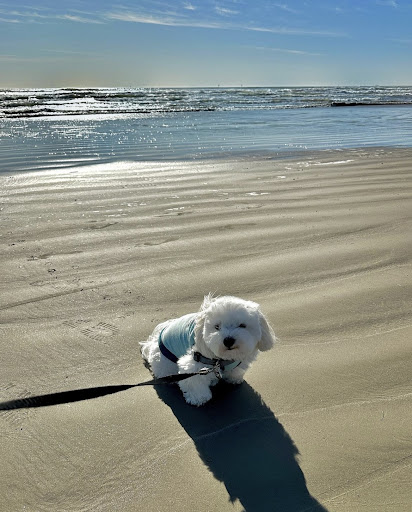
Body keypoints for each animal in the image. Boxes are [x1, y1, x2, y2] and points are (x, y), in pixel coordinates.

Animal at [140, 294, 276, 406]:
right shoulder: (193, 364)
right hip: (166, 364)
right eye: (217, 327)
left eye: (242, 325)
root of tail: (152, 343)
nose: (228, 340)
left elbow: (234, 370)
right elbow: (194, 382)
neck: (222, 359)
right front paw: (198, 398)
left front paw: (233, 378)